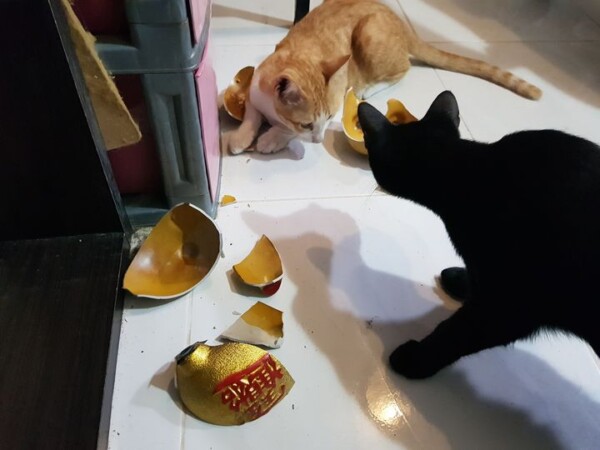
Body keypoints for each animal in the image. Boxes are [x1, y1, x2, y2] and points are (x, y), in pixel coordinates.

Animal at [228, 0, 542, 155]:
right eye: (306, 123)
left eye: (328, 118)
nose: (317, 141)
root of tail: (400, 22)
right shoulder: (256, 91)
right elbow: (251, 115)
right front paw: (242, 137)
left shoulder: (339, 98)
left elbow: (285, 130)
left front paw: (272, 138)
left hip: (370, 34)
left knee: (405, 67)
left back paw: (370, 87)